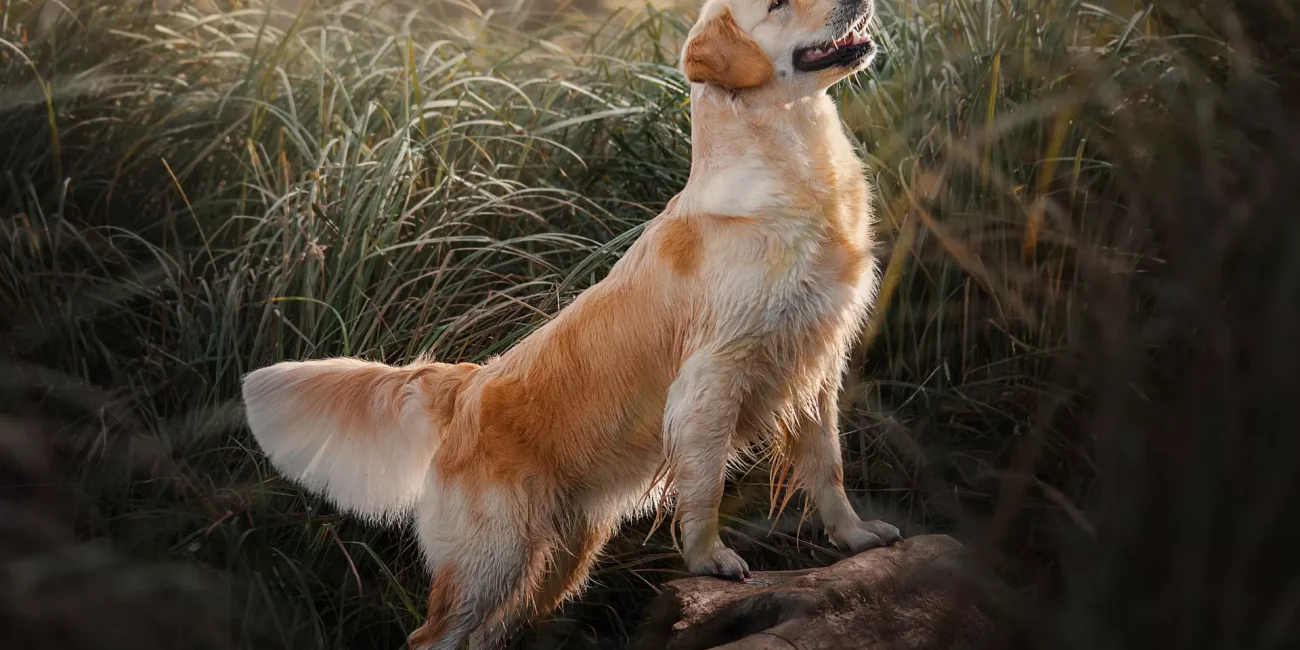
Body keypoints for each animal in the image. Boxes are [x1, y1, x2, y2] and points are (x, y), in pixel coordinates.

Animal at [241, 0, 894, 644]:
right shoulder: (712, 375)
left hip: (551, 561)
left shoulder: (816, 363)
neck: (787, 167)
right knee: (433, 635)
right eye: (777, 4)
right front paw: (710, 558)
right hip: (490, 559)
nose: (862, 0)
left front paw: (855, 536)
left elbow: (828, 465)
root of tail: (467, 385)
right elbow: (706, 480)